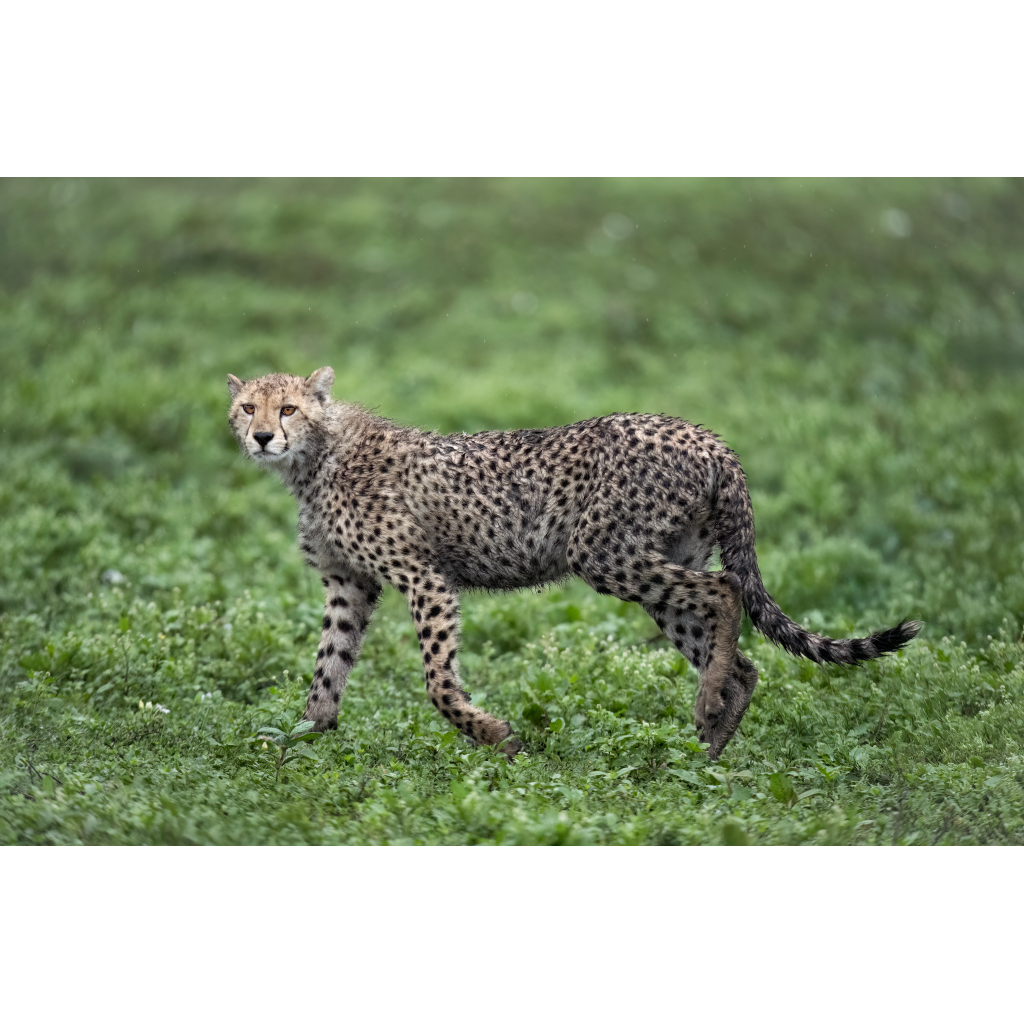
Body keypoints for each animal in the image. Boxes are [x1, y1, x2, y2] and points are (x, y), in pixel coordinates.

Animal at [227, 367, 920, 760]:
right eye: (246, 408)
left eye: (288, 408)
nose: (261, 437)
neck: (314, 456)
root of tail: (707, 436)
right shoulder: (350, 584)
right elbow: (328, 667)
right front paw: (301, 741)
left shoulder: (424, 577)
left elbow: (437, 681)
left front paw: (493, 736)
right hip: (657, 560)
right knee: (743, 657)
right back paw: (708, 747)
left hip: (603, 552)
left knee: (726, 589)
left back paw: (705, 714)